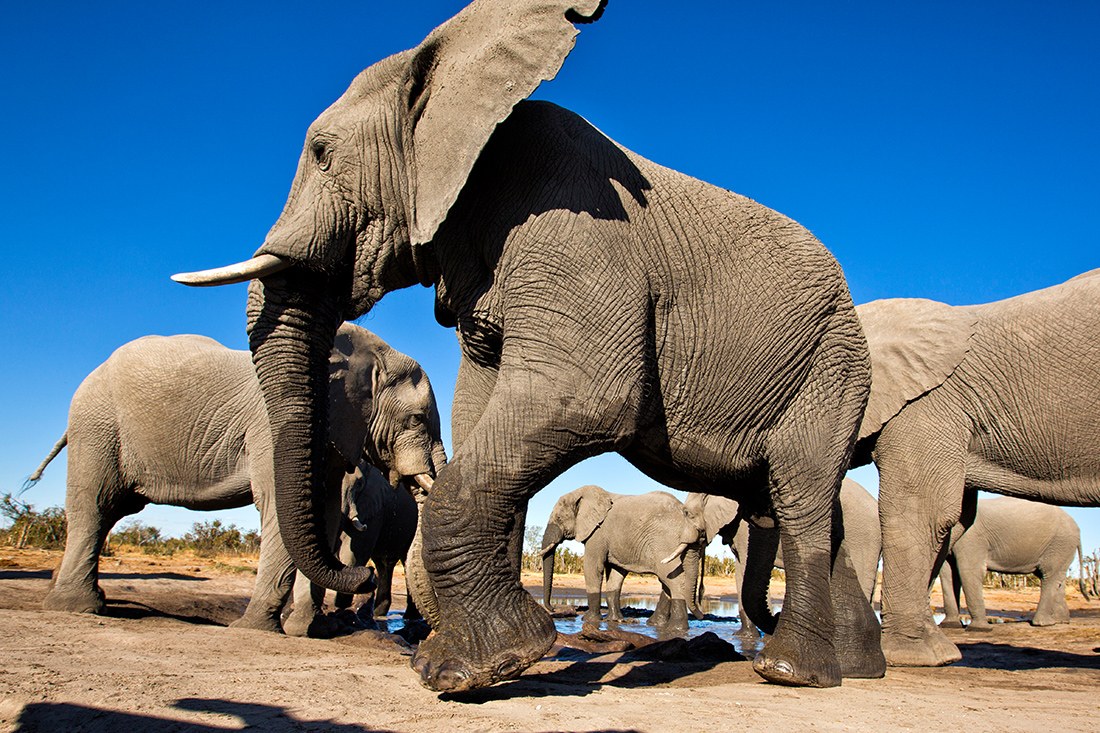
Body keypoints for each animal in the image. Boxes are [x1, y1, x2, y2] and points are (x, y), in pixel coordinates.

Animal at [29, 323, 445, 633]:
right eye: (416, 420)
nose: (364, 578)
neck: (371, 352)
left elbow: (322, 518)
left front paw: (307, 629)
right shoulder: (273, 426)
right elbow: (284, 508)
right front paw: (257, 628)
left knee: (112, 510)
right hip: (96, 424)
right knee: (94, 506)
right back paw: (75, 606)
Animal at [539, 485, 703, 632]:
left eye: (559, 518)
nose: (553, 608)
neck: (582, 493)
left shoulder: (598, 533)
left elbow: (593, 567)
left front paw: (588, 619)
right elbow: (616, 575)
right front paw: (614, 620)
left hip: (664, 542)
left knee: (673, 580)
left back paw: (676, 629)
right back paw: (657, 625)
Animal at [689, 479, 881, 638]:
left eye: (688, 514)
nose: (701, 614)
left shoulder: (744, 527)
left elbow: (744, 569)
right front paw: (743, 636)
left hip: (862, 536)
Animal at [938, 496, 1089, 630]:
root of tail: (1077, 529)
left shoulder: (972, 536)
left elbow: (969, 570)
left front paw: (978, 629)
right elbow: (947, 573)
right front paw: (949, 626)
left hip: (1060, 543)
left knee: (1049, 575)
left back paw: (1043, 623)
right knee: (1057, 577)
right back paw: (1060, 621)